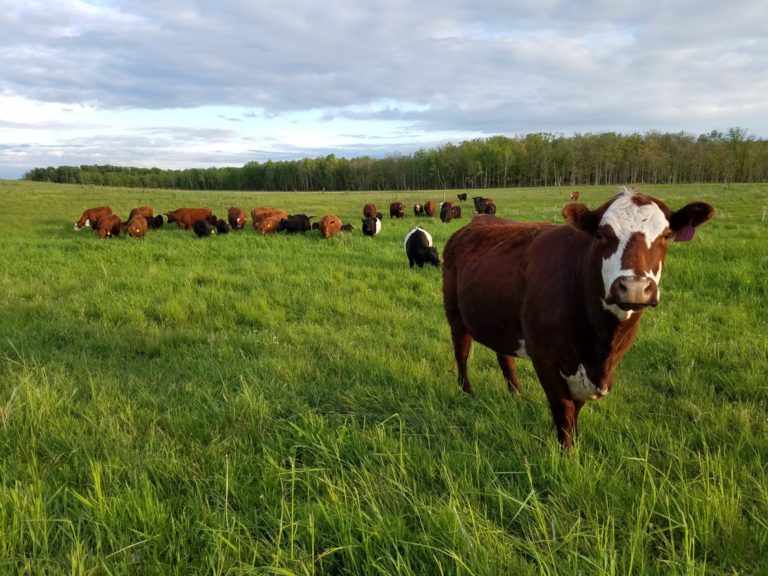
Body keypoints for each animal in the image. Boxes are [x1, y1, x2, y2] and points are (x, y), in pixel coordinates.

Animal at [440, 187, 716, 448]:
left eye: (666, 235)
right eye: (602, 234)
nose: (634, 287)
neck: (599, 343)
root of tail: (476, 221)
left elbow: (576, 409)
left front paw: (574, 441)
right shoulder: (545, 358)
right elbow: (563, 408)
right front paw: (567, 453)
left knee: (505, 358)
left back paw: (516, 396)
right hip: (455, 314)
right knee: (462, 352)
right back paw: (467, 391)